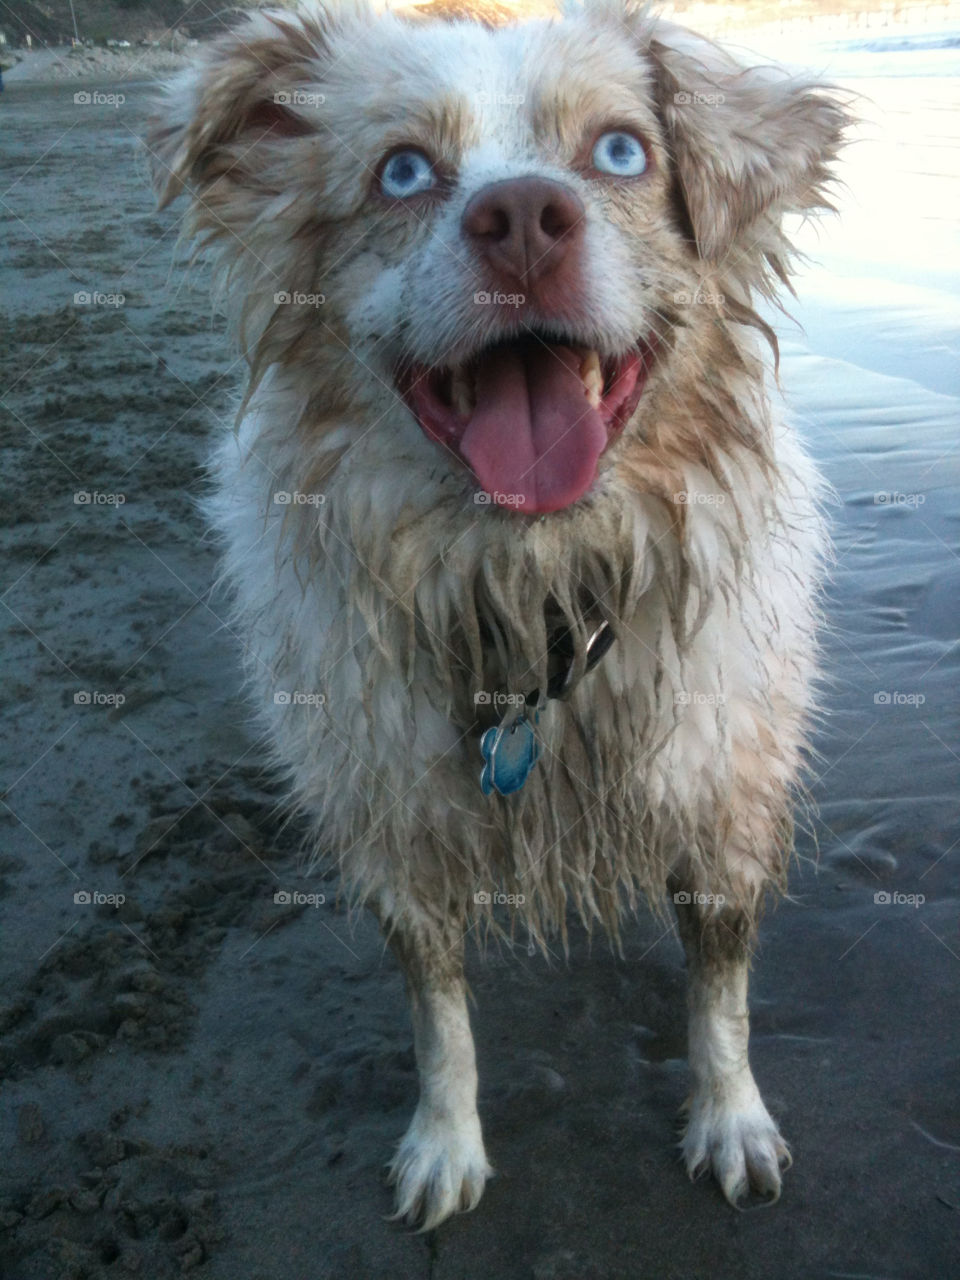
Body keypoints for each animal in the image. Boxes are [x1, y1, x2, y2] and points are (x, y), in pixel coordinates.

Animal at [148, 0, 849, 1228]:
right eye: (402, 170)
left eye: (621, 151)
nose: (522, 217)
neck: (532, 587)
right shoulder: (395, 818)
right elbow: (438, 1014)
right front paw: (445, 1141)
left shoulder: (726, 793)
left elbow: (720, 991)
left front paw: (730, 1119)